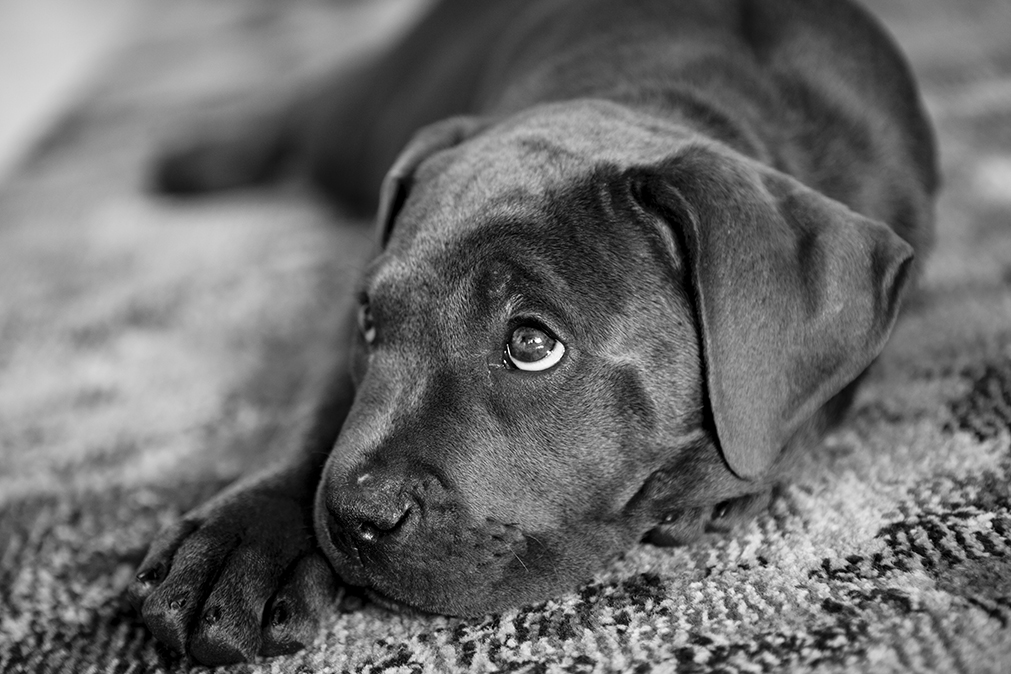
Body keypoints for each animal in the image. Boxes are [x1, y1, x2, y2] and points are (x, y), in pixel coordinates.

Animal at [126, 0, 938, 662]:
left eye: (531, 344)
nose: (355, 515)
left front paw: (720, 483)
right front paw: (239, 541)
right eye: (369, 323)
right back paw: (198, 156)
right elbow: (322, 408)